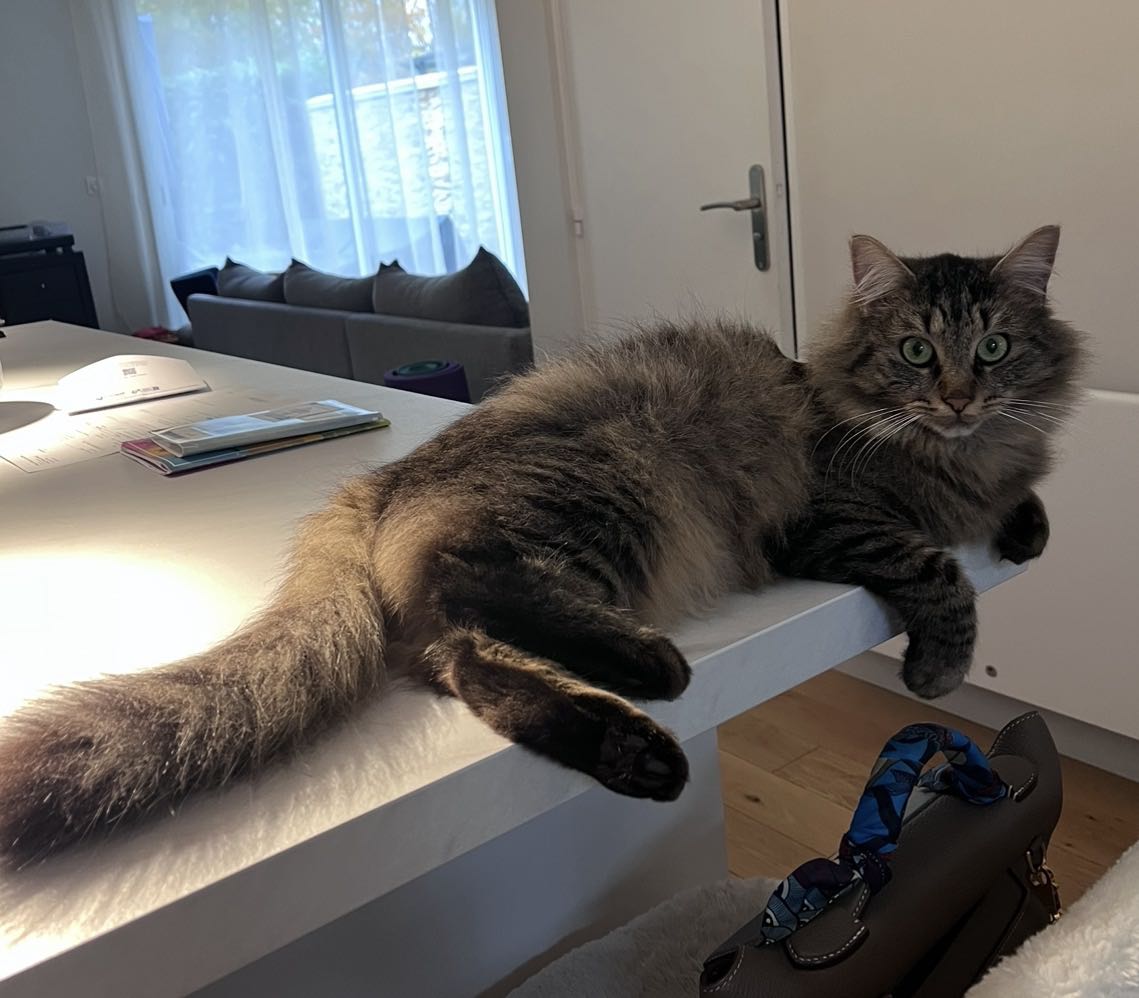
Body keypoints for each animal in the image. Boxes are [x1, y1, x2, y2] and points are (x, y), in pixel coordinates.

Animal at [0, 226, 1084, 865]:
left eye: (992, 349)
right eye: (915, 351)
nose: (959, 396)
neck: (954, 452)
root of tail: (380, 480)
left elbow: (1024, 502)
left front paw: (1025, 525)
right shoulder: (826, 514)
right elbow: (934, 568)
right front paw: (940, 667)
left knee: (458, 655)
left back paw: (631, 746)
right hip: (606, 500)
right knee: (476, 602)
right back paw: (652, 675)